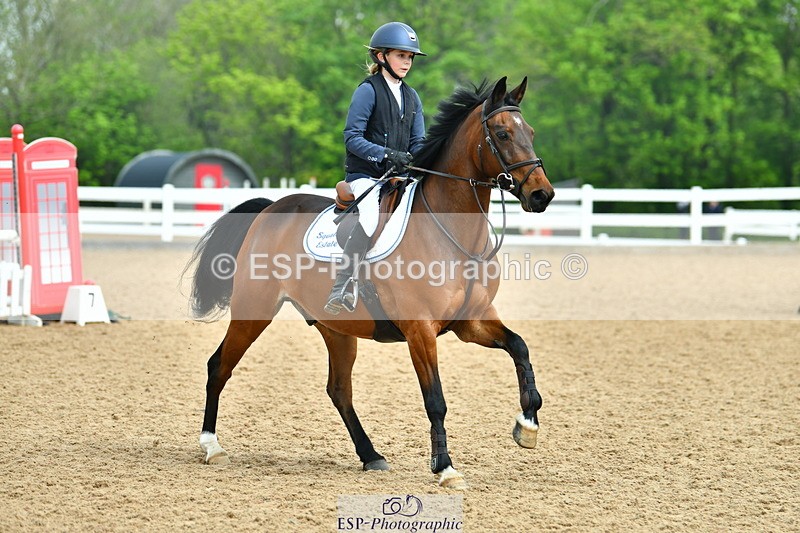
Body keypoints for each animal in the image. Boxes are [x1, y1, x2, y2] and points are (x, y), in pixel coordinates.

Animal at [185, 76, 554, 489]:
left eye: (531, 133)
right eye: (503, 134)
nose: (542, 194)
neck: (452, 234)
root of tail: (269, 209)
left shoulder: (470, 322)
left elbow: (520, 347)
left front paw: (527, 425)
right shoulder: (420, 330)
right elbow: (436, 400)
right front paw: (445, 467)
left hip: (335, 328)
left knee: (339, 390)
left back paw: (370, 454)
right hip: (254, 312)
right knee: (218, 367)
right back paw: (212, 446)